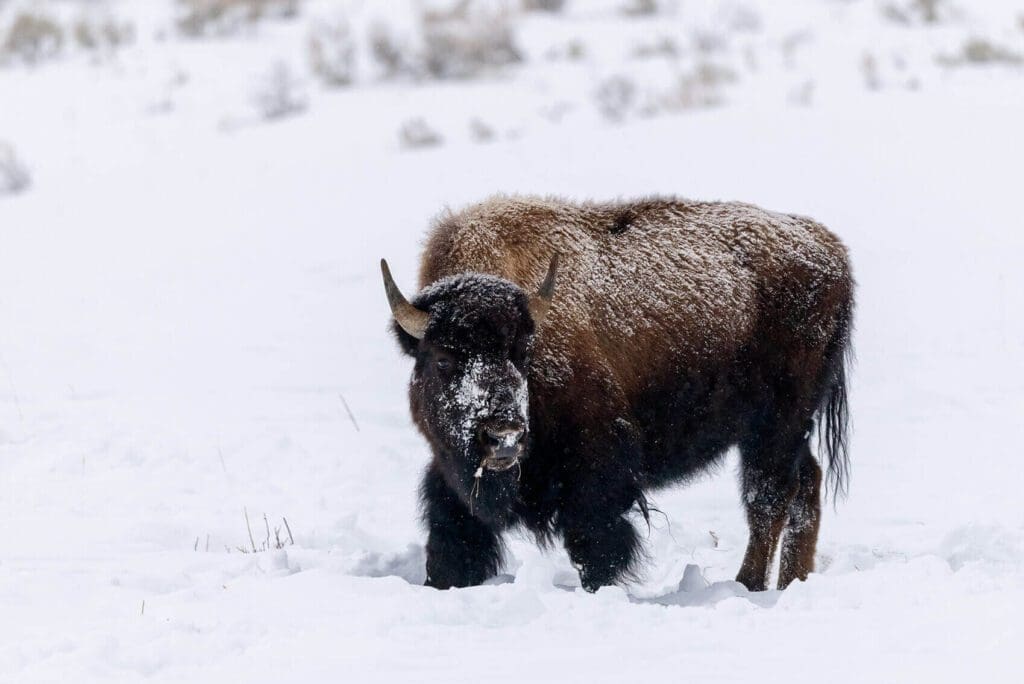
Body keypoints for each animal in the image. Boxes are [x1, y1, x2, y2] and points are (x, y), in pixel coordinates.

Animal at [380, 194, 851, 589]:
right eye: (443, 359)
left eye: (522, 354)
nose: (503, 437)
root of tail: (828, 246)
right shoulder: (451, 475)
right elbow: (452, 541)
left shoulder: (598, 475)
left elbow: (596, 548)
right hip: (787, 430)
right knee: (803, 487)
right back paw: (791, 582)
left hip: (775, 426)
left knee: (768, 500)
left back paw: (747, 584)